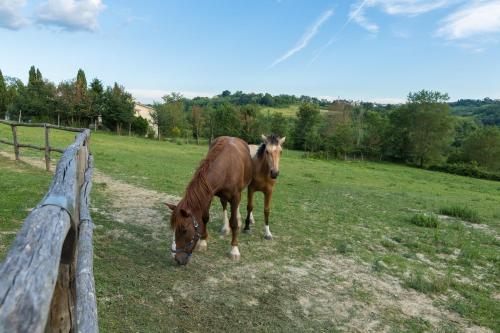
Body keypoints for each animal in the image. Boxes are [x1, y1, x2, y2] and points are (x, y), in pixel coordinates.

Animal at [166, 136, 252, 264]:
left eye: (184, 230)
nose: (176, 259)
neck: (227, 166)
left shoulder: (236, 196)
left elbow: (234, 223)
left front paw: (234, 249)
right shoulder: (208, 194)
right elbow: (205, 218)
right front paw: (203, 242)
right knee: (224, 205)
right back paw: (225, 228)